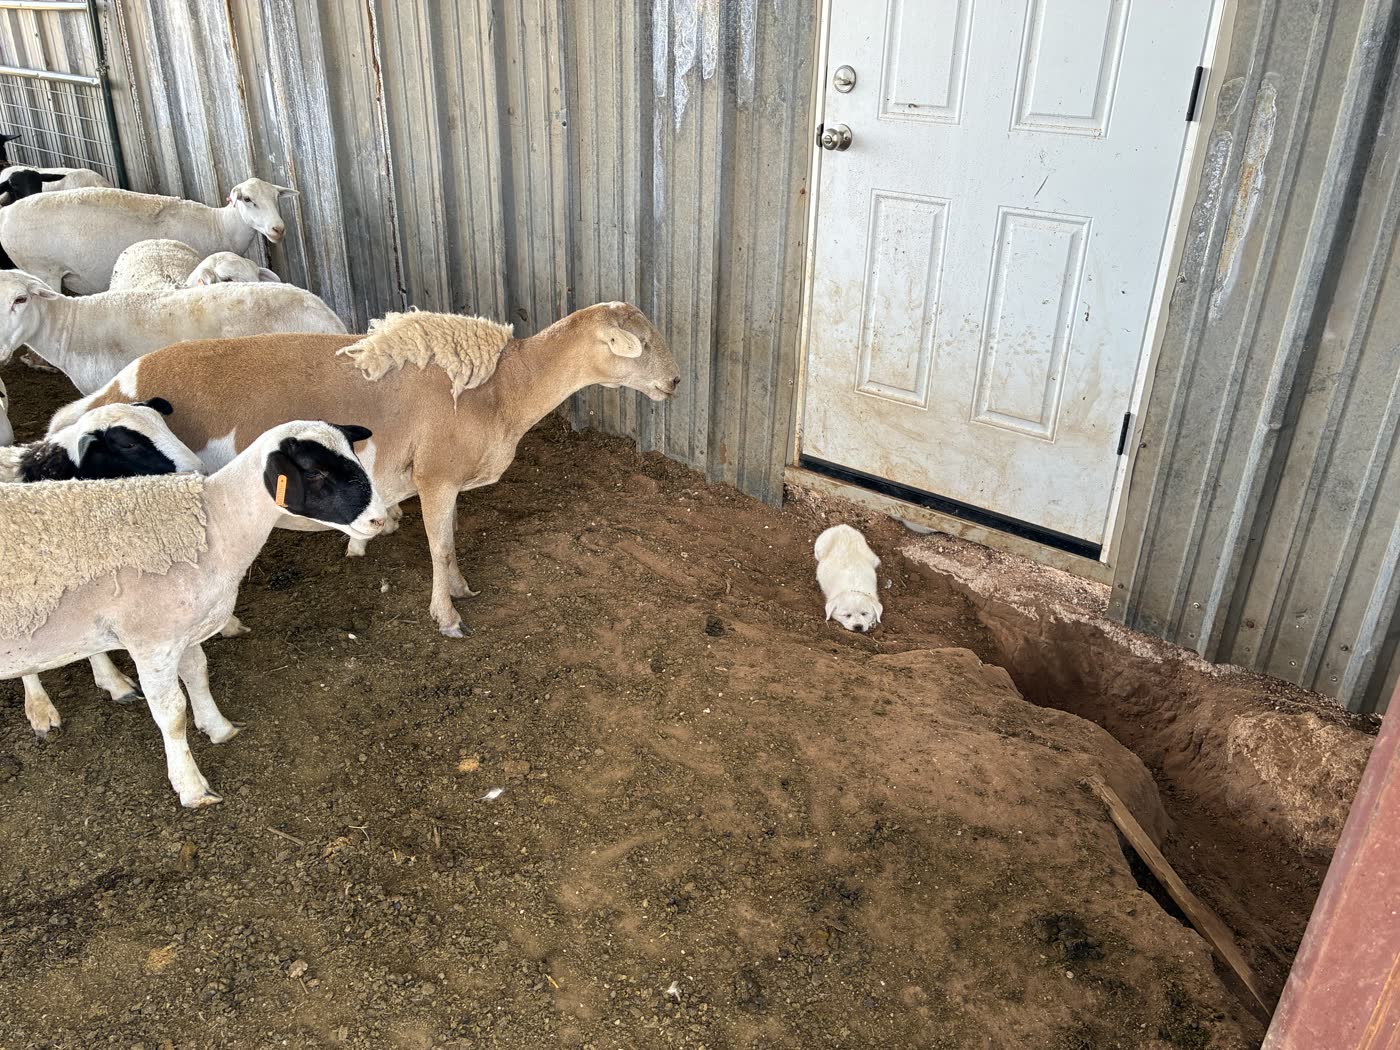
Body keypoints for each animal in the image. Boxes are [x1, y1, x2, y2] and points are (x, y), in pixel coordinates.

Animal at [0, 176, 295, 294]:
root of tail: (6, 212)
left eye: (276, 198)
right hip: (42, 270)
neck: (219, 224)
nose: (278, 229)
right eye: (247, 199)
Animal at [61, 302, 682, 637]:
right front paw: (445, 614)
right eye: (638, 344)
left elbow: (450, 541)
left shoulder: (444, 481)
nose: (675, 382)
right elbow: (438, 545)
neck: (503, 391)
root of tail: (105, 395)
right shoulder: (435, 476)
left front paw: (460, 587)